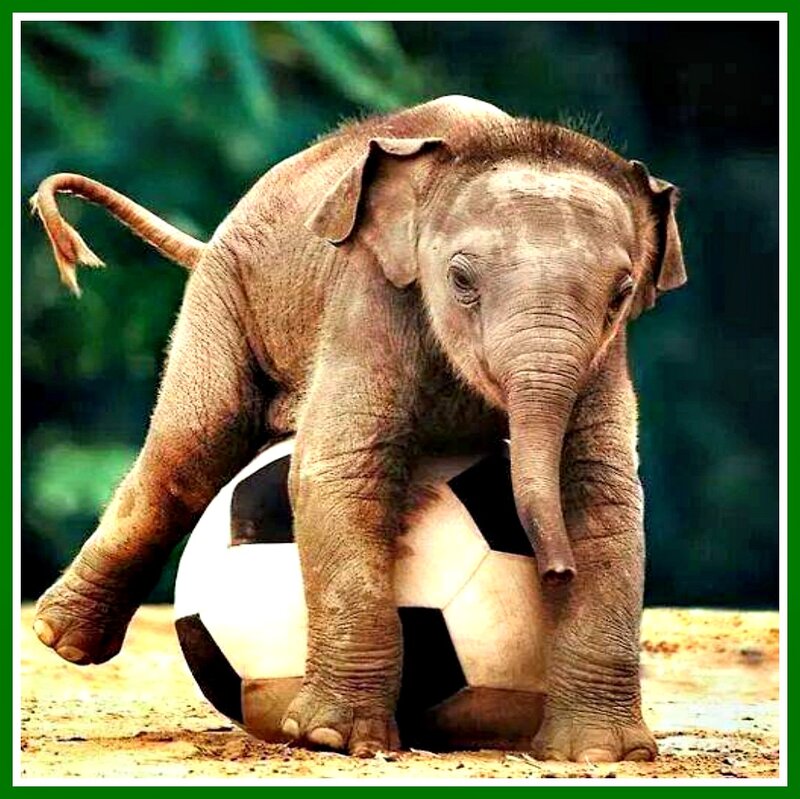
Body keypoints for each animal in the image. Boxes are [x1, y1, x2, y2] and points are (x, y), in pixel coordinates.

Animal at [29, 95, 686, 761]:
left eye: (622, 292)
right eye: (461, 280)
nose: (554, 570)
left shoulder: (606, 354)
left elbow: (600, 493)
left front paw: (602, 755)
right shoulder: (369, 295)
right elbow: (343, 469)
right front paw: (334, 740)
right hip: (225, 293)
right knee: (192, 449)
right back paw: (60, 638)